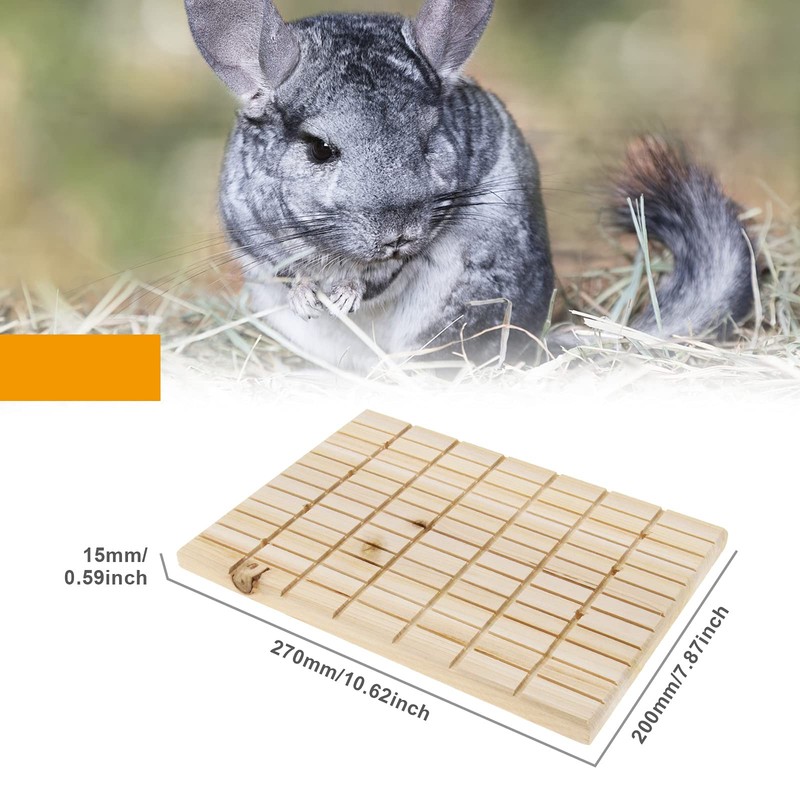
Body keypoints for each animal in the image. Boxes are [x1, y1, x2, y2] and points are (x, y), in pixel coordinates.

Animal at [184, 0, 754, 372]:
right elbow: (289, 272)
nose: (398, 232)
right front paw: (309, 296)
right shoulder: (254, 239)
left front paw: (345, 295)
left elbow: (377, 277)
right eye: (319, 148)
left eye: (427, 138)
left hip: (459, 311)